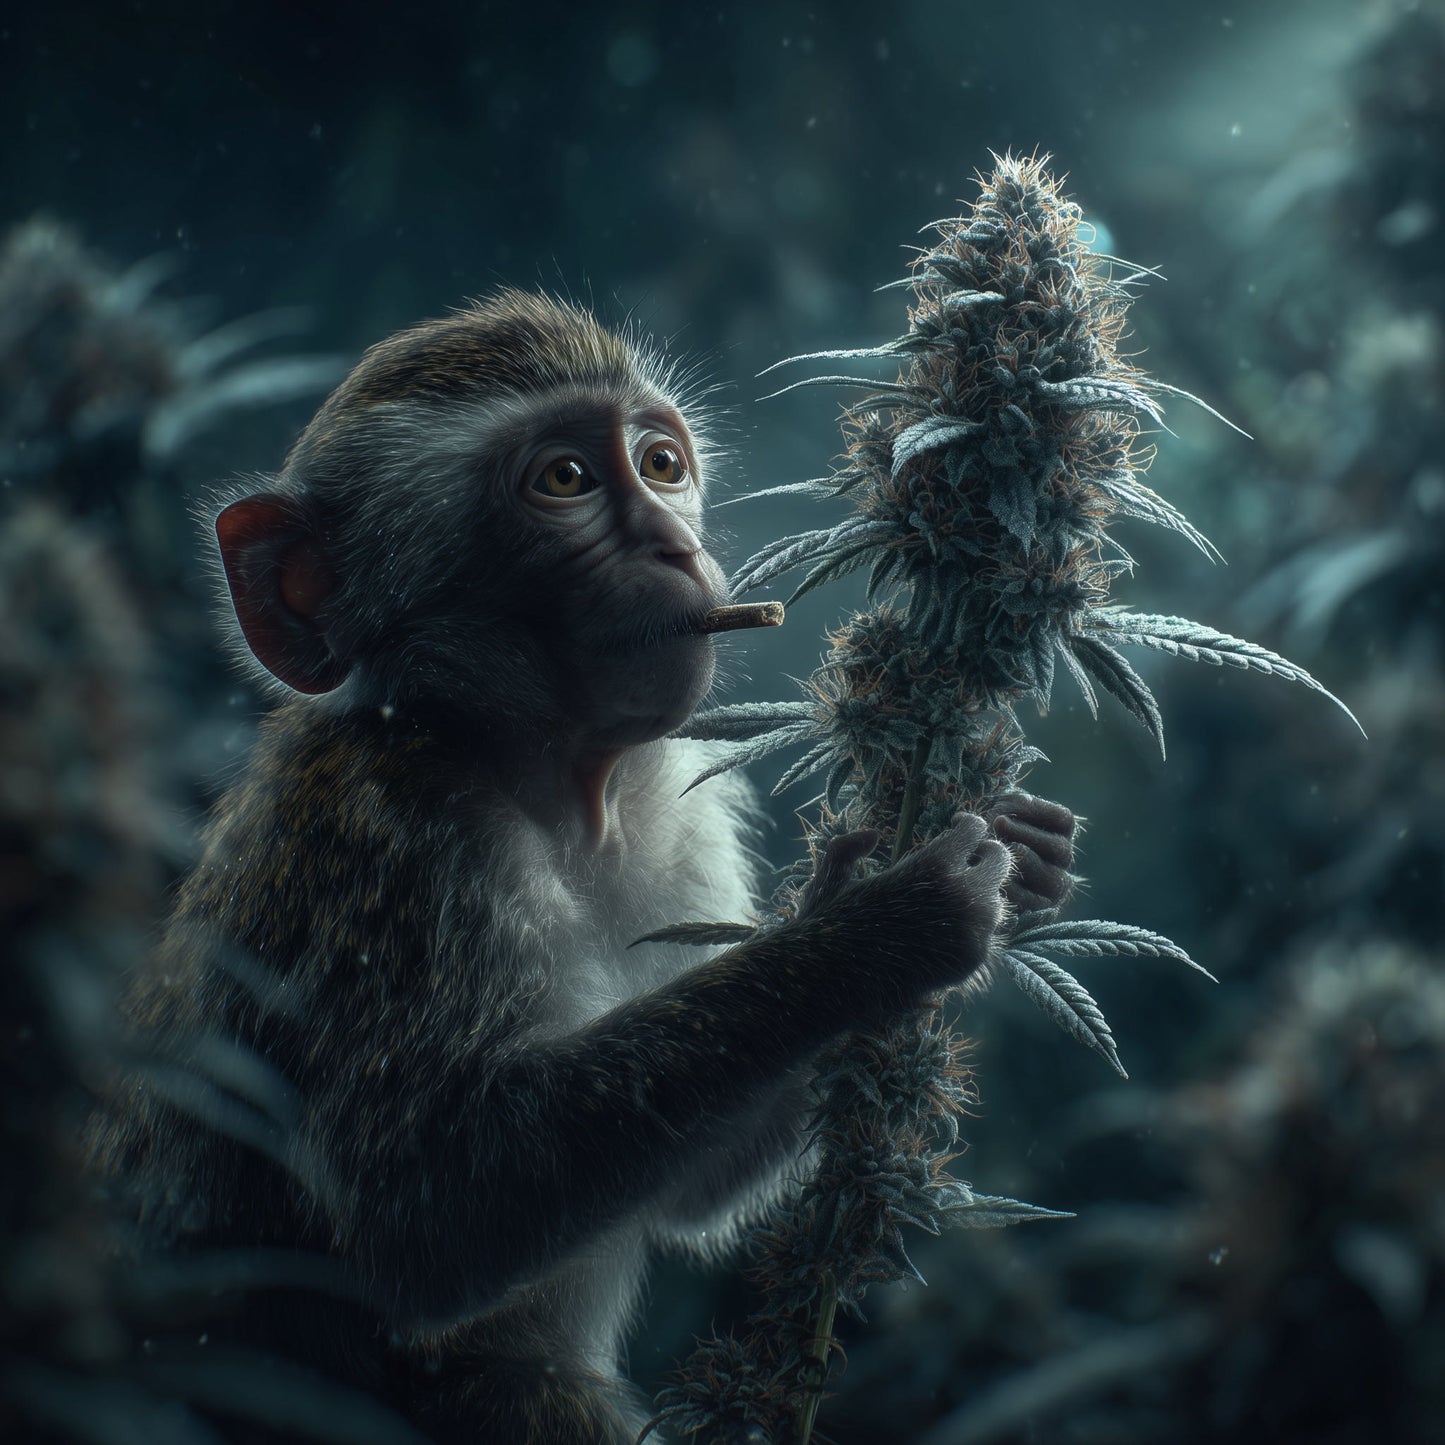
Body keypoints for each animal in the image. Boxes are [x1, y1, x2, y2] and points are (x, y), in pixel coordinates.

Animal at [86, 291, 1076, 1444]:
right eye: (563, 481)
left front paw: (992, 860)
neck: (555, 789)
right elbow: (421, 1219)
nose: (674, 544)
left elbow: (686, 1188)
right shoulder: (393, 847)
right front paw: (880, 929)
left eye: (660, 464)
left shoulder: (677, 805)